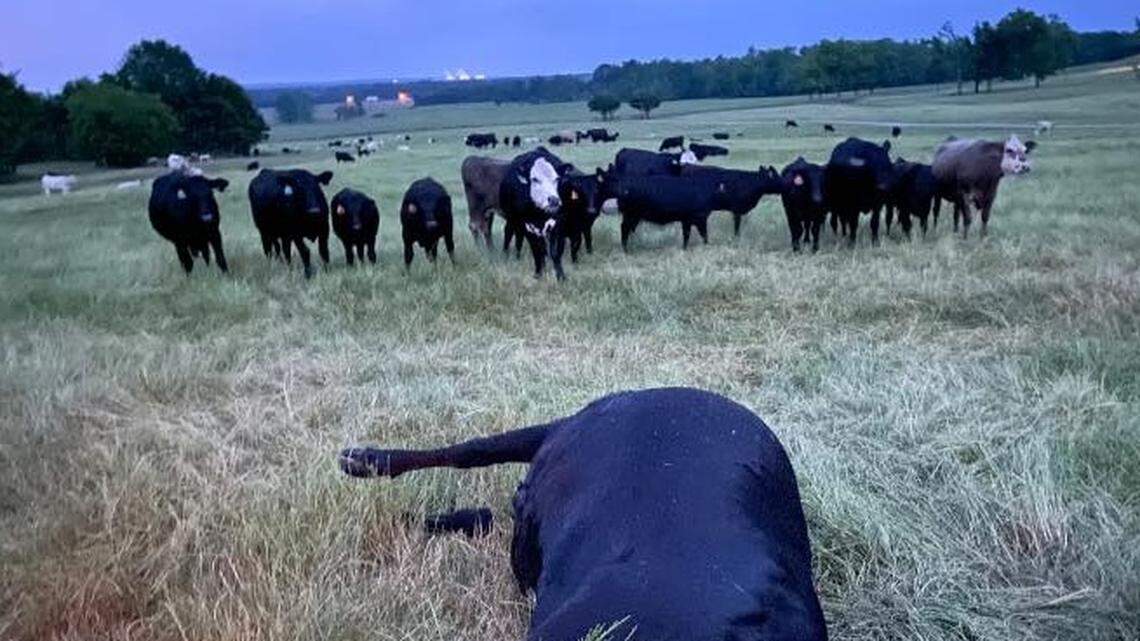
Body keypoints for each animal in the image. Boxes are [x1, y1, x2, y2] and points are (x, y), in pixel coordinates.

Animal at [499, 147, 573, 280]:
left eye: (557, 179)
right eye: (534, 179)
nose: (554, 200)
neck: (539, 215)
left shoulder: (559, 223)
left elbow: (555, 252)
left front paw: (560, 276)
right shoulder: (527, 226)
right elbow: (536, 251)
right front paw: (539, 274)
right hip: (512, 219)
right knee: (509, 233)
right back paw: (507, 254)